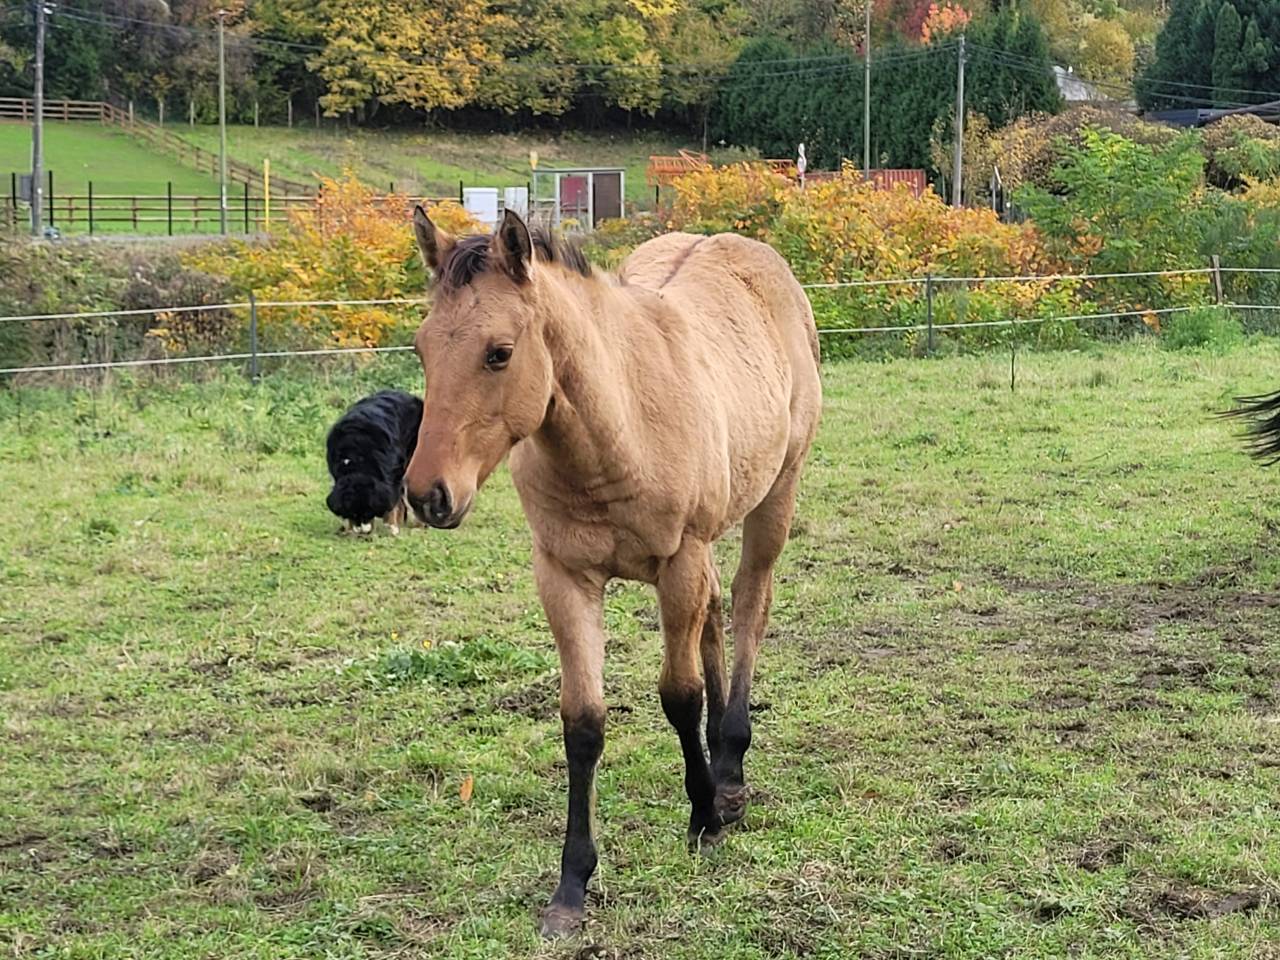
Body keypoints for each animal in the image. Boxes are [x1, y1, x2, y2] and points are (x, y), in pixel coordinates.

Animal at [403, 207, 822, 938]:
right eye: (423, 349)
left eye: (498, 352)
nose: (429, 494)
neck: (616, 426)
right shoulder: (564, 577)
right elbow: (583, 723)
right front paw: (571, 886)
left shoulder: (678, 563)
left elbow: (678, 696)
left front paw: (704, 818)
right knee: (717, 615)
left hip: (775, 495)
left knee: (748, 606)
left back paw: (730, 768)